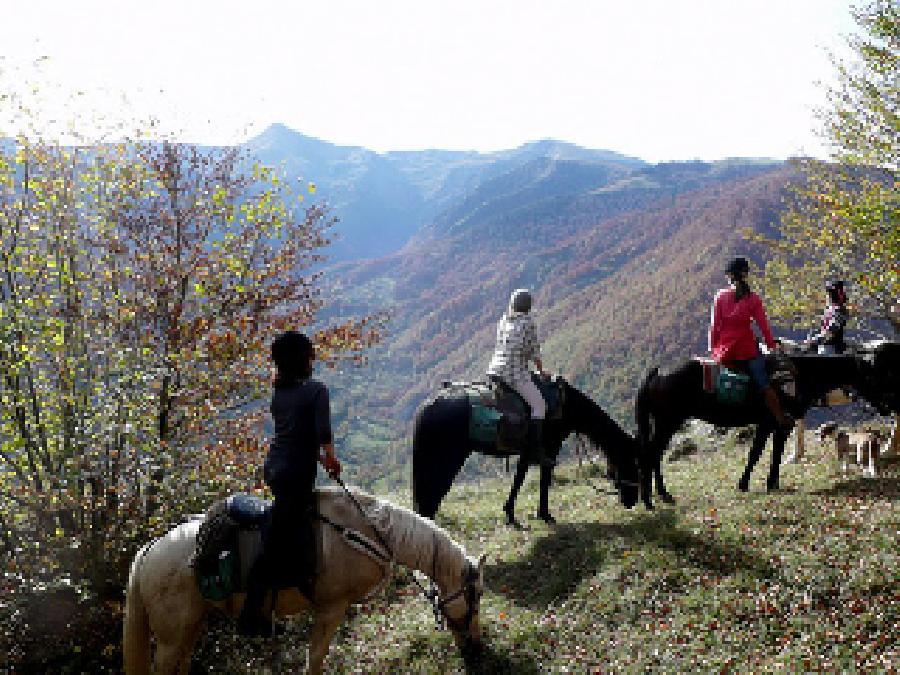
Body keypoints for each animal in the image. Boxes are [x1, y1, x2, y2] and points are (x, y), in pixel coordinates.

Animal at [122, 488, 486, 672]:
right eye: (476, 597)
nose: (476, 648)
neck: (367, 533)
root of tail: (148, 552)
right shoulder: (332, 609)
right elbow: (316, 658)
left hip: (190, 627)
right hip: (171, 639)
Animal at [414, 374, 640, 528]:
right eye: (632, 464)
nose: (631, 502)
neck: (567, 405)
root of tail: (429, 406)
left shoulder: (527, 451)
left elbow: (519, 478)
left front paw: (510, 514)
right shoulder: (550, 448)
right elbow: (544, 480)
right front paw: (545, 515)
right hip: (444, 463)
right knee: (430, 499)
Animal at [636, 340, 896, 510]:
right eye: (872, 375)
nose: (887, 405)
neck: (801, 375)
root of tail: (657, 373)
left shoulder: (776, 424)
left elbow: (768, 452)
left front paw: (762, 483)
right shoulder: (774, 423)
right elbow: (763, 452)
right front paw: (756, 483)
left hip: (664, 423)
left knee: (653, 454)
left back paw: (659, 496)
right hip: (668, 422)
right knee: (651, 454)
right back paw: (656, 497)